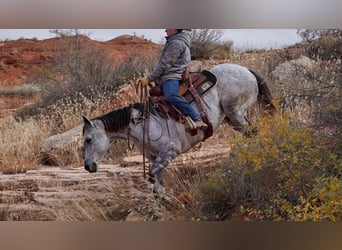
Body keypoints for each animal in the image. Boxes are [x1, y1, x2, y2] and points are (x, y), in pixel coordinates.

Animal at [82, 63, 276, 195]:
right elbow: (156, 180)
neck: (142, 124)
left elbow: (152, 175)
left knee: (253, 133)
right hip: (232, 119)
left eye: (88, 139)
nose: (87, 166)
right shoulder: (157, 157)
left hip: (235, 113)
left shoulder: (170, 150)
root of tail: (246, 70)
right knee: (250, 133)